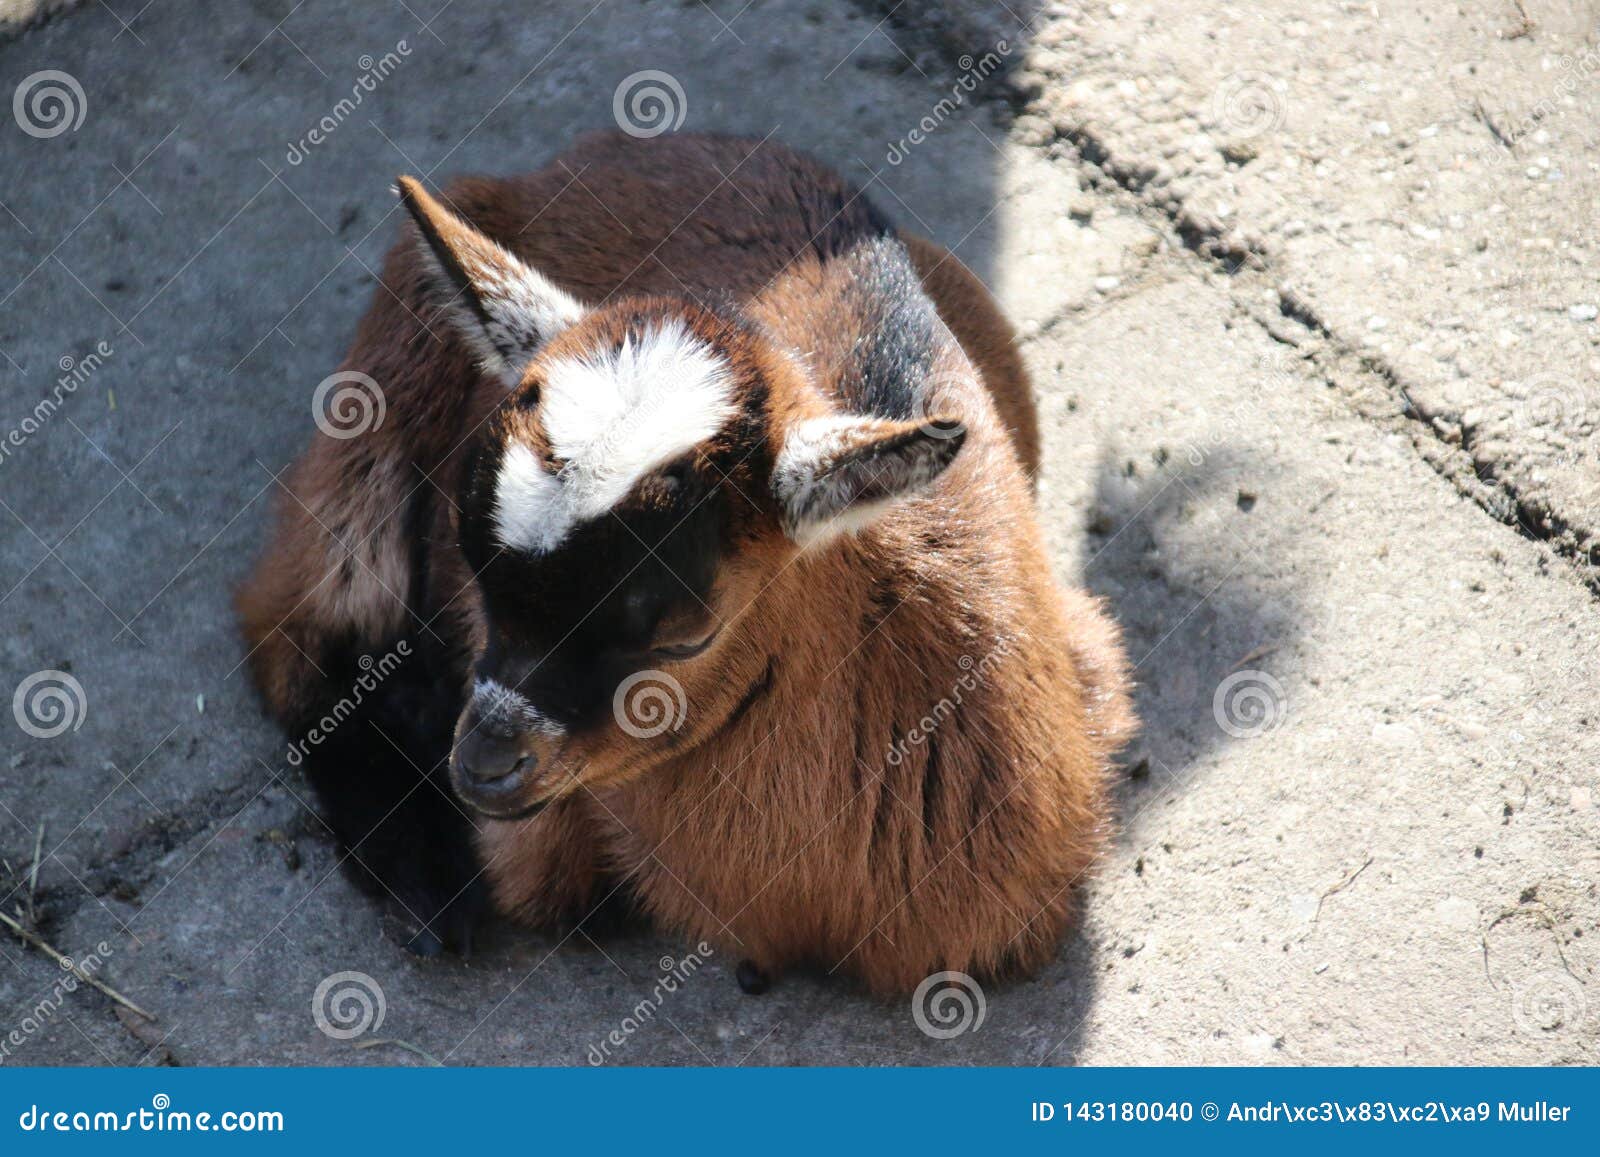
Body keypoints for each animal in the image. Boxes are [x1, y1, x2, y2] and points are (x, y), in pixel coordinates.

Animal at [240, 128, 1139, 998]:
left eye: (684, 638)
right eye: (476, 577)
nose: (483, 765)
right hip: (378, 405)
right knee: (303, 629)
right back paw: (424, 886)